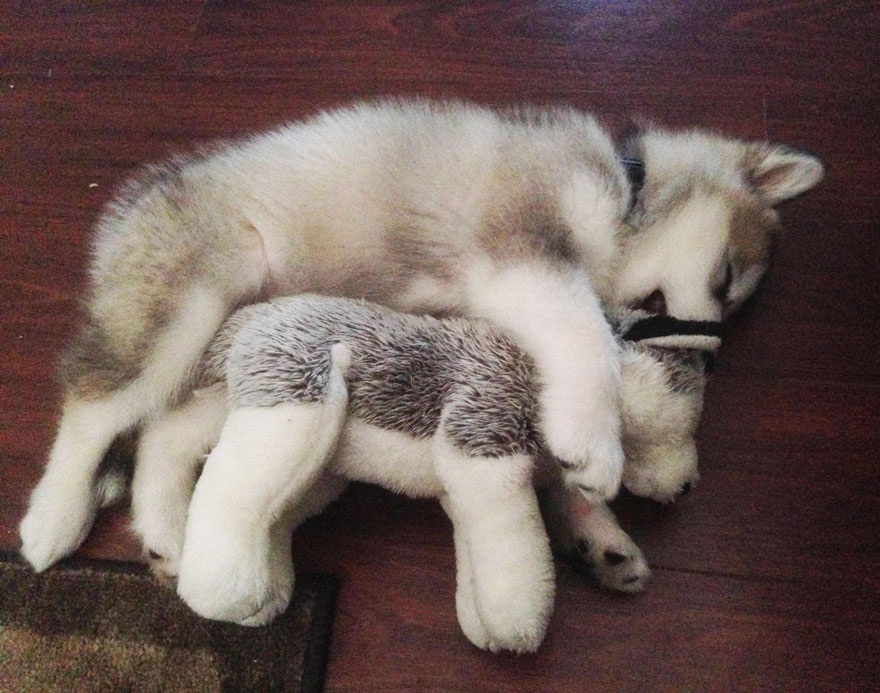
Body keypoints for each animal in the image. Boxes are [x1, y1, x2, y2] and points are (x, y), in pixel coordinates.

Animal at [17, 98, 820, 572]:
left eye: (731, 298)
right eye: (725, 277)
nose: (704, 360)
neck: (624, 186)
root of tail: (132, 206)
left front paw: (593, 526)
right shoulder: (520, 250)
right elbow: (585, 334)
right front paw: (598, 442)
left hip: (235, 350)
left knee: (161, 431)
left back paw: (166, 533)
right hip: (184, 307)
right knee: (94, 406)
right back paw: (53, 517)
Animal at [160, 294, 716, 652]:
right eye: (687, 410)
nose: (690, 486)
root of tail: (250, 315)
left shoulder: (470, 485)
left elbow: (493, 540)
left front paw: (484, 615)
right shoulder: (482, 442)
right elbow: (515, 546)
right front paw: (518, 618)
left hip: (314, 470)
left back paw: (264, 582)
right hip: (293, 409)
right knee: (208, 476)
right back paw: (214, 580)